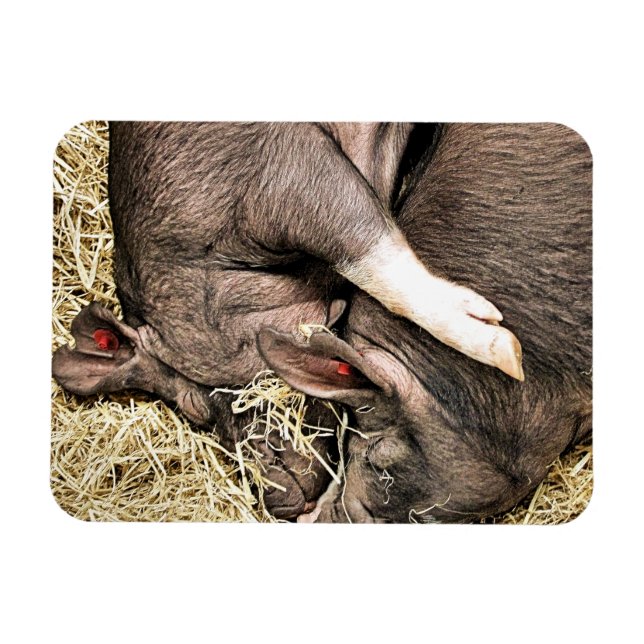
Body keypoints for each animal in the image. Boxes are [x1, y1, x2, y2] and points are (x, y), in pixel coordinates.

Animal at [53, 122, 523, 519]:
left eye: (195, 404)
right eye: (196, 418)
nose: (276, 502)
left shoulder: (280, 176)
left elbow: (370, 250)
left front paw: (506, 351)